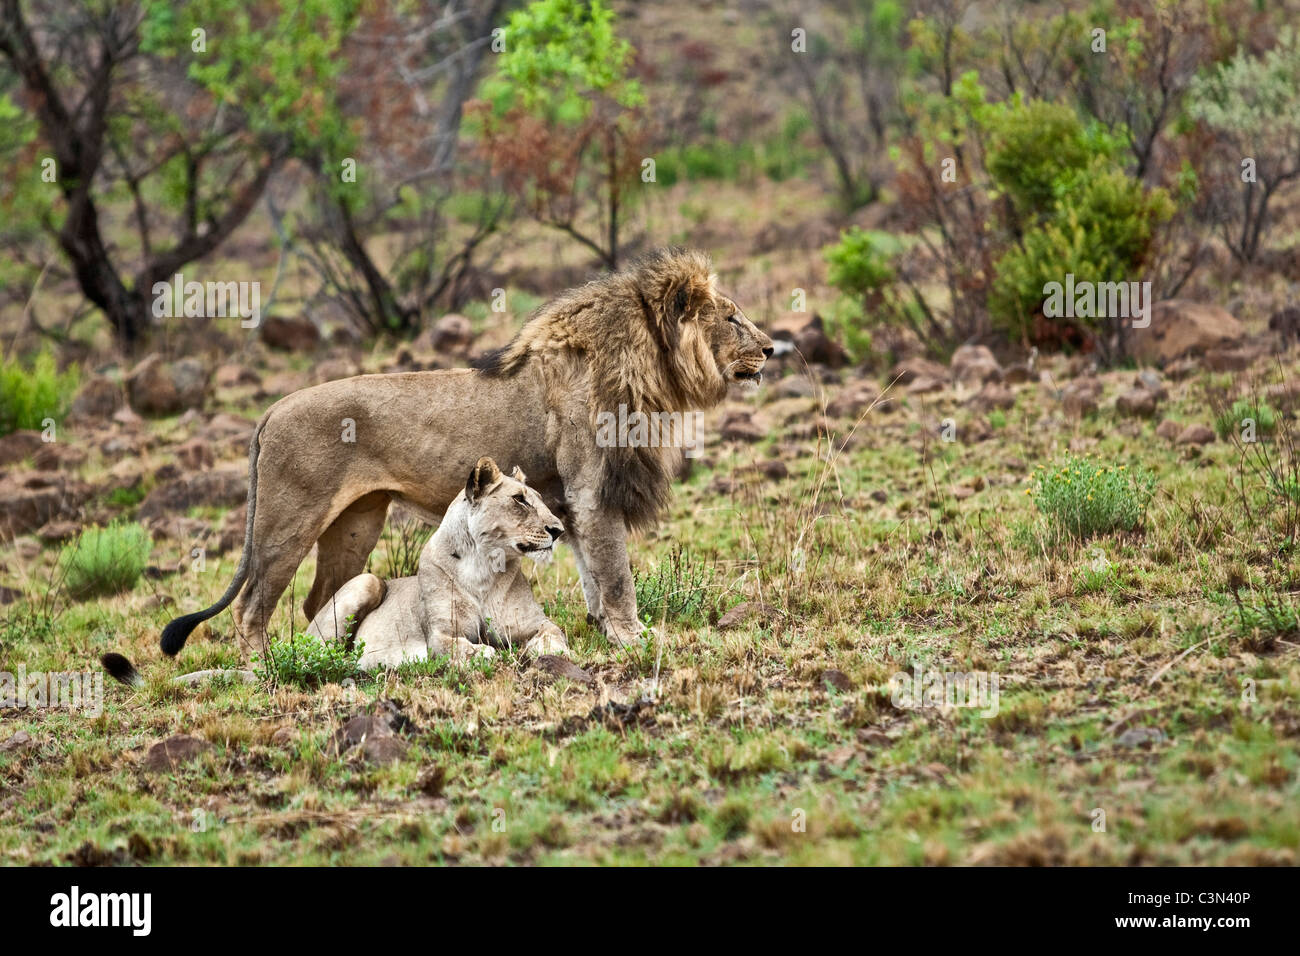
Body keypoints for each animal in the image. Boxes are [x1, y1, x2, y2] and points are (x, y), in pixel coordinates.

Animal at [161, 247, 769, 660]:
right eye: (732, 317)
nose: (769, 348)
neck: (649, 371)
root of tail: (269, 411)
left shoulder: (571, 505)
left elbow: (592, 574)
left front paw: (601, 630)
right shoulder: (592, 492)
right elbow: (616, 573)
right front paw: (633, 637)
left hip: (355, 522)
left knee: (321, 600)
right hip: (288, 521)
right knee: (251, 606)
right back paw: (266, 669)